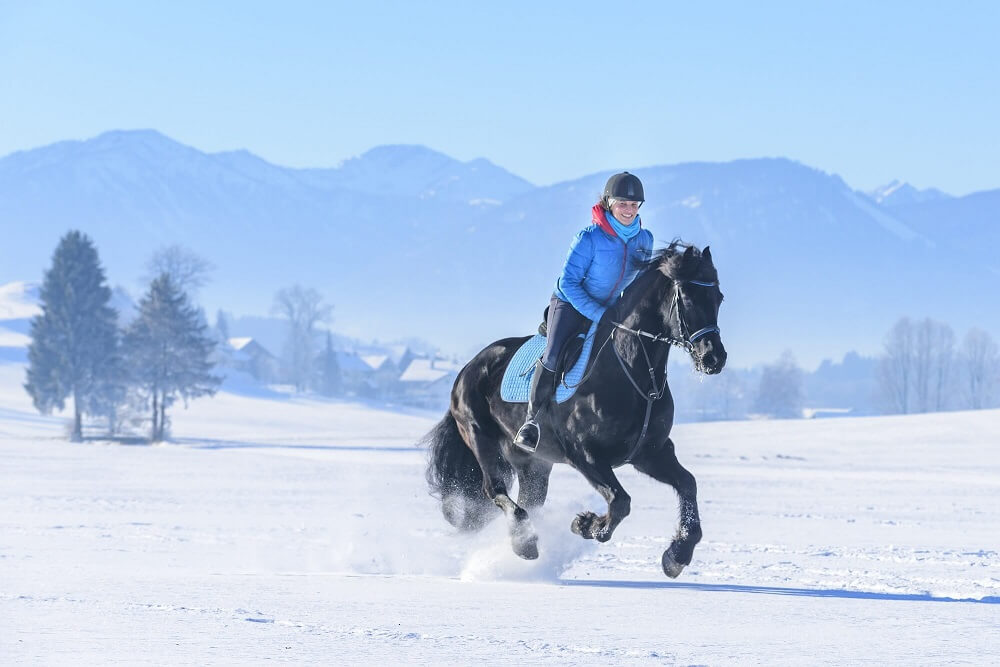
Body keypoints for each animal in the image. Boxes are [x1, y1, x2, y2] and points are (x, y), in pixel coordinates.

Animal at [422, 243, 728, 576]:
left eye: (718, 297)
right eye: (687, 297)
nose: (714, 358)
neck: (630, 371)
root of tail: (467, 368)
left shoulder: (650, 453)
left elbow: (688, 484)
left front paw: (677, 555)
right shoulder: (585, 454)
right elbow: (621, 500)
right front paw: (585, 525)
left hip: (534, 464)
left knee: (529, 500)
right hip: (479, 435)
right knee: (494, 489)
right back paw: (524, 544)